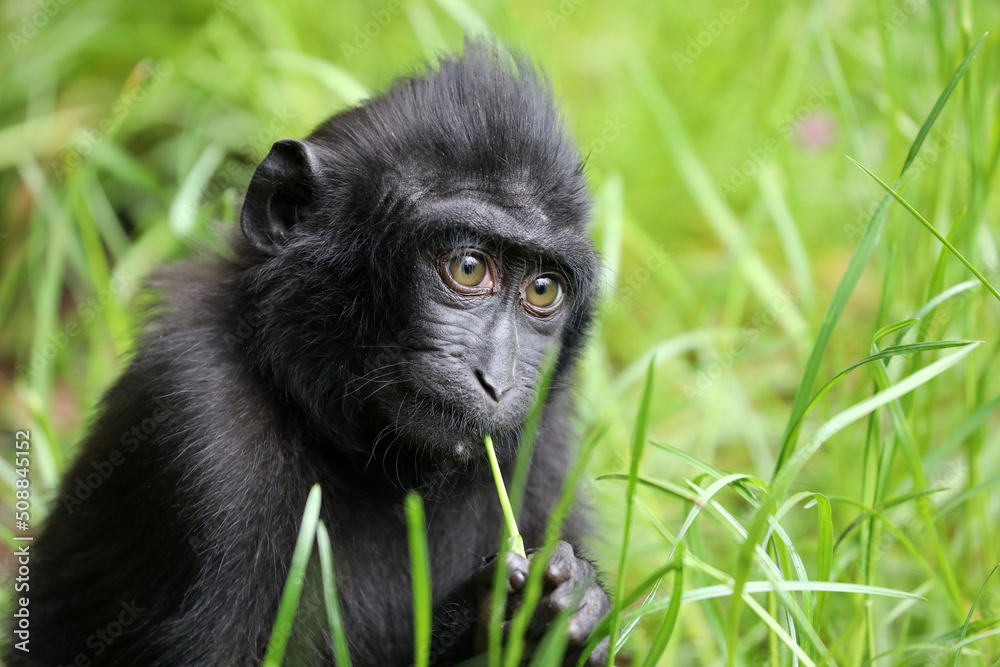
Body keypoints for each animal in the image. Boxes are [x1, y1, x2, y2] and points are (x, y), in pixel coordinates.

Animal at [6, 39, 610, 666]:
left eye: (542, 290)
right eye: (468, 267)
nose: (497, 379)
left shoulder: (549, 443)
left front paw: (566, 605)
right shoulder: (199, 427)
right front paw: (500, 612)